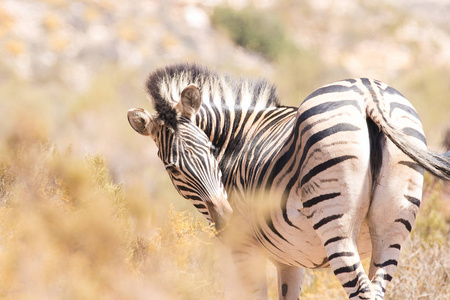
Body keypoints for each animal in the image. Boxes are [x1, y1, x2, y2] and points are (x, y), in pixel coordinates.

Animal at [127, 64, 450, 298]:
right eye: (172, 168)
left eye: (210, 150)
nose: (227, 220)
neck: (236, 138)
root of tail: (368, 93)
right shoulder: (288, 259)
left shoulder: (244, 251)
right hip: (392, 228)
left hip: (335, 223)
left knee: (362, 291)